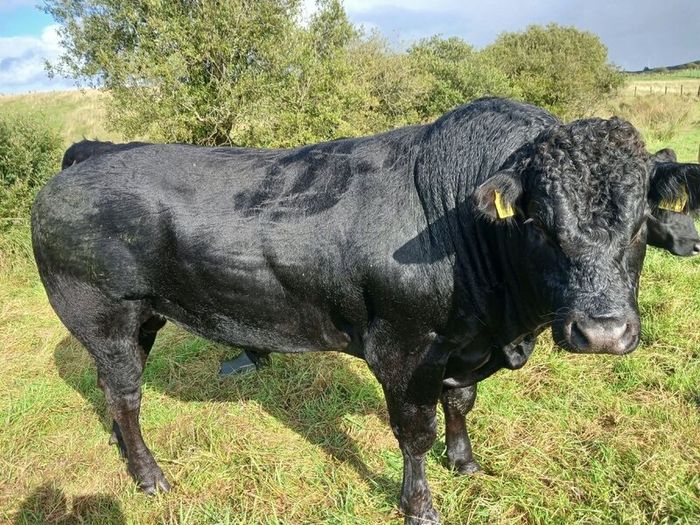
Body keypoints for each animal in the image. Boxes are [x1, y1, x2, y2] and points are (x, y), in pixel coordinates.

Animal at [32, 98, 700, 524]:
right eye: (538, 221)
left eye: (640, 221)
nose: (603, 331)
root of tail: (89, 155)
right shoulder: (403, 350)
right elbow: (414, 432)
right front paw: (420, 506)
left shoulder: (462, 347)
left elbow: (461, 404)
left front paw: (465, 462)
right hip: (103, 315)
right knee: (125, 392)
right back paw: (149, 476)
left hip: (140, 319)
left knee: (113, 389)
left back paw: (125, 452)